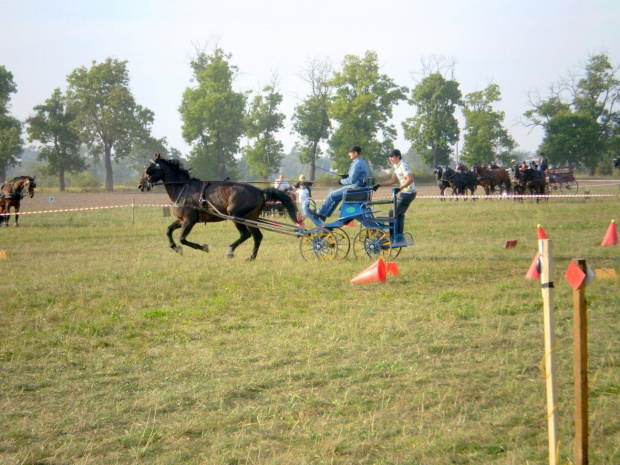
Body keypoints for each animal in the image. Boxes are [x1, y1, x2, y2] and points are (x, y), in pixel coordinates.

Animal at [139, 154, 300, 260]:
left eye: (149, 168)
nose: (141, 185)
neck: (184, 189)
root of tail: (259, 191)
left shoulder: (189, 220)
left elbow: (182, 238)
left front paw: (202, 247)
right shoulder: (181, 220)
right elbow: (168, 230)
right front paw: (176, 248)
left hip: (236, 216)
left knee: (245, 235)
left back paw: (230, 251)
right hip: (251, 219)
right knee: (257, 237)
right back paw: (251, 257)